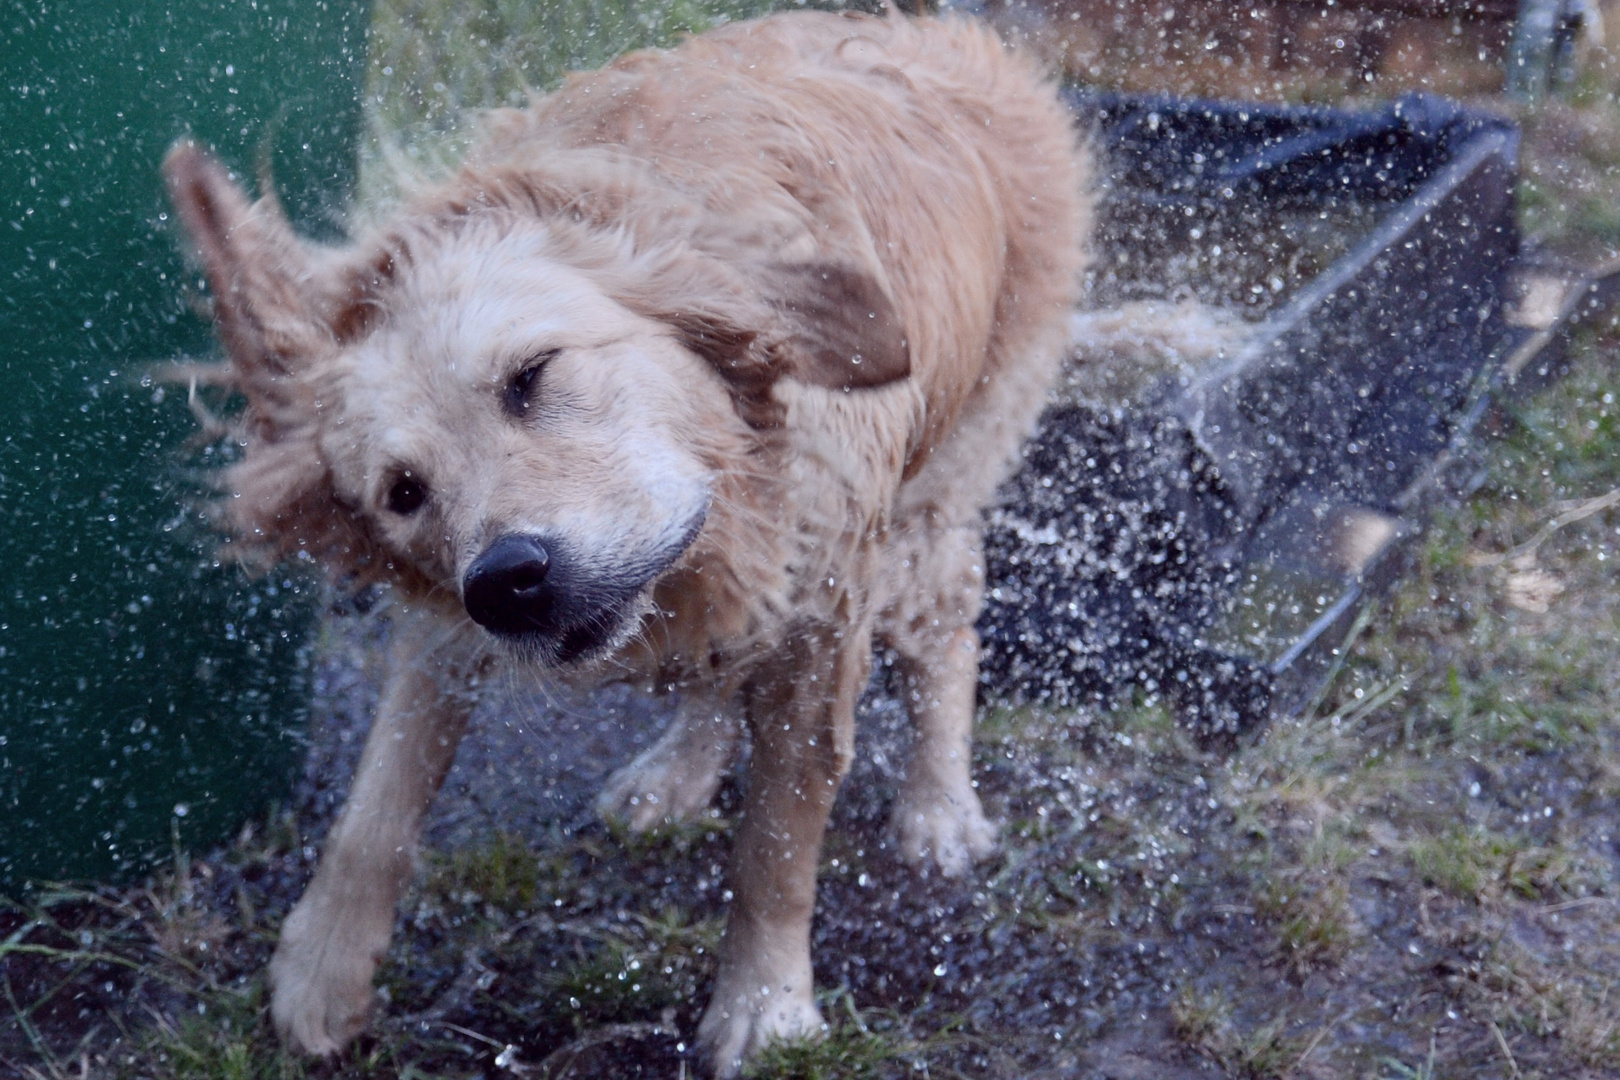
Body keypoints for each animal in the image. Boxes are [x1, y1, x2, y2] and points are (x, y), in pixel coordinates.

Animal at [164, 8, 1088, 1075]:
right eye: (402, 494)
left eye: (532, 375)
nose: (507, 582)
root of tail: (952, 38)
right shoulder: (449, 622)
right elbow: (377, 801)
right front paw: (320, 970)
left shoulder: (822, 607)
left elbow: (778, 842)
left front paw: (764, 1008)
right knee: (724, 669)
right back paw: (680, 770)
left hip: (938, 494)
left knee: (949, 632)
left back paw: (939, 810)